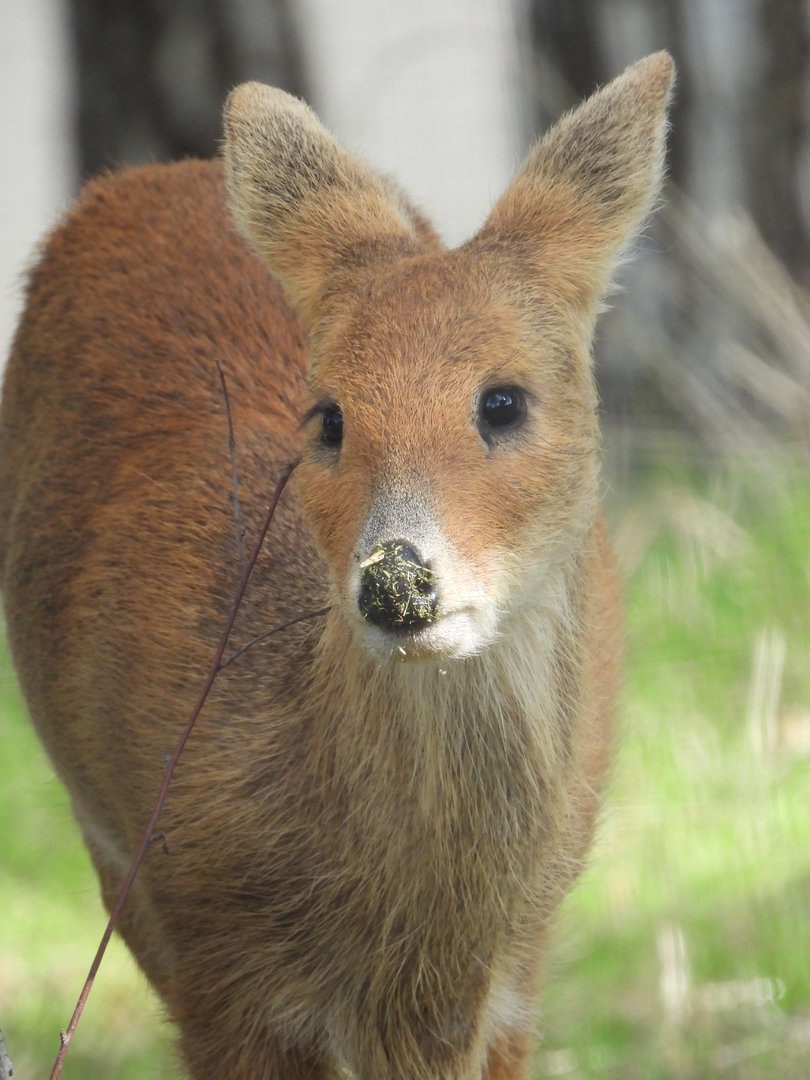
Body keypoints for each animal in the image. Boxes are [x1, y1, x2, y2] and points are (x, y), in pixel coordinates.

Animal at [0, 53, 674, 1080]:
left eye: (504, 400)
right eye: (328, 419)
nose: (398, 582)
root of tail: (157, 173)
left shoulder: (512, 985)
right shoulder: (209, 958)